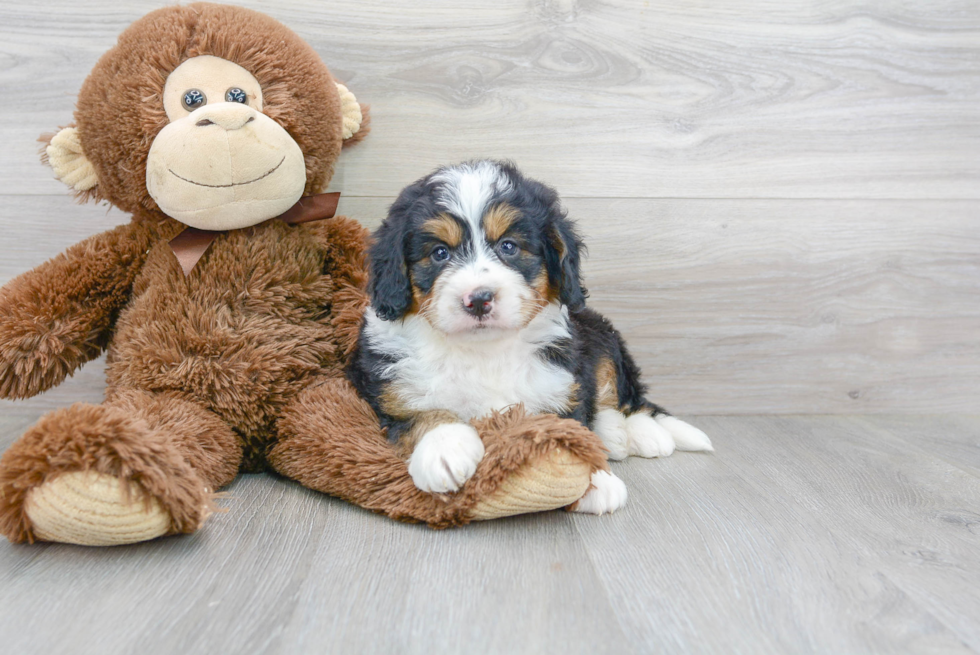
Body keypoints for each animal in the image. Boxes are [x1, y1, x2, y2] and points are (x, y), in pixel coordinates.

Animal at [350, 161, 712, 516]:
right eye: (440, 253)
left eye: (509, 246)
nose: (478, 299)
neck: (484, 350)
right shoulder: (390, 390)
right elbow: (422, 412)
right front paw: (445, 449)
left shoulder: (559, 382)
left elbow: (570, 428)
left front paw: (594, 478)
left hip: (601, 335)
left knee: (626, 397)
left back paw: (641, 432)